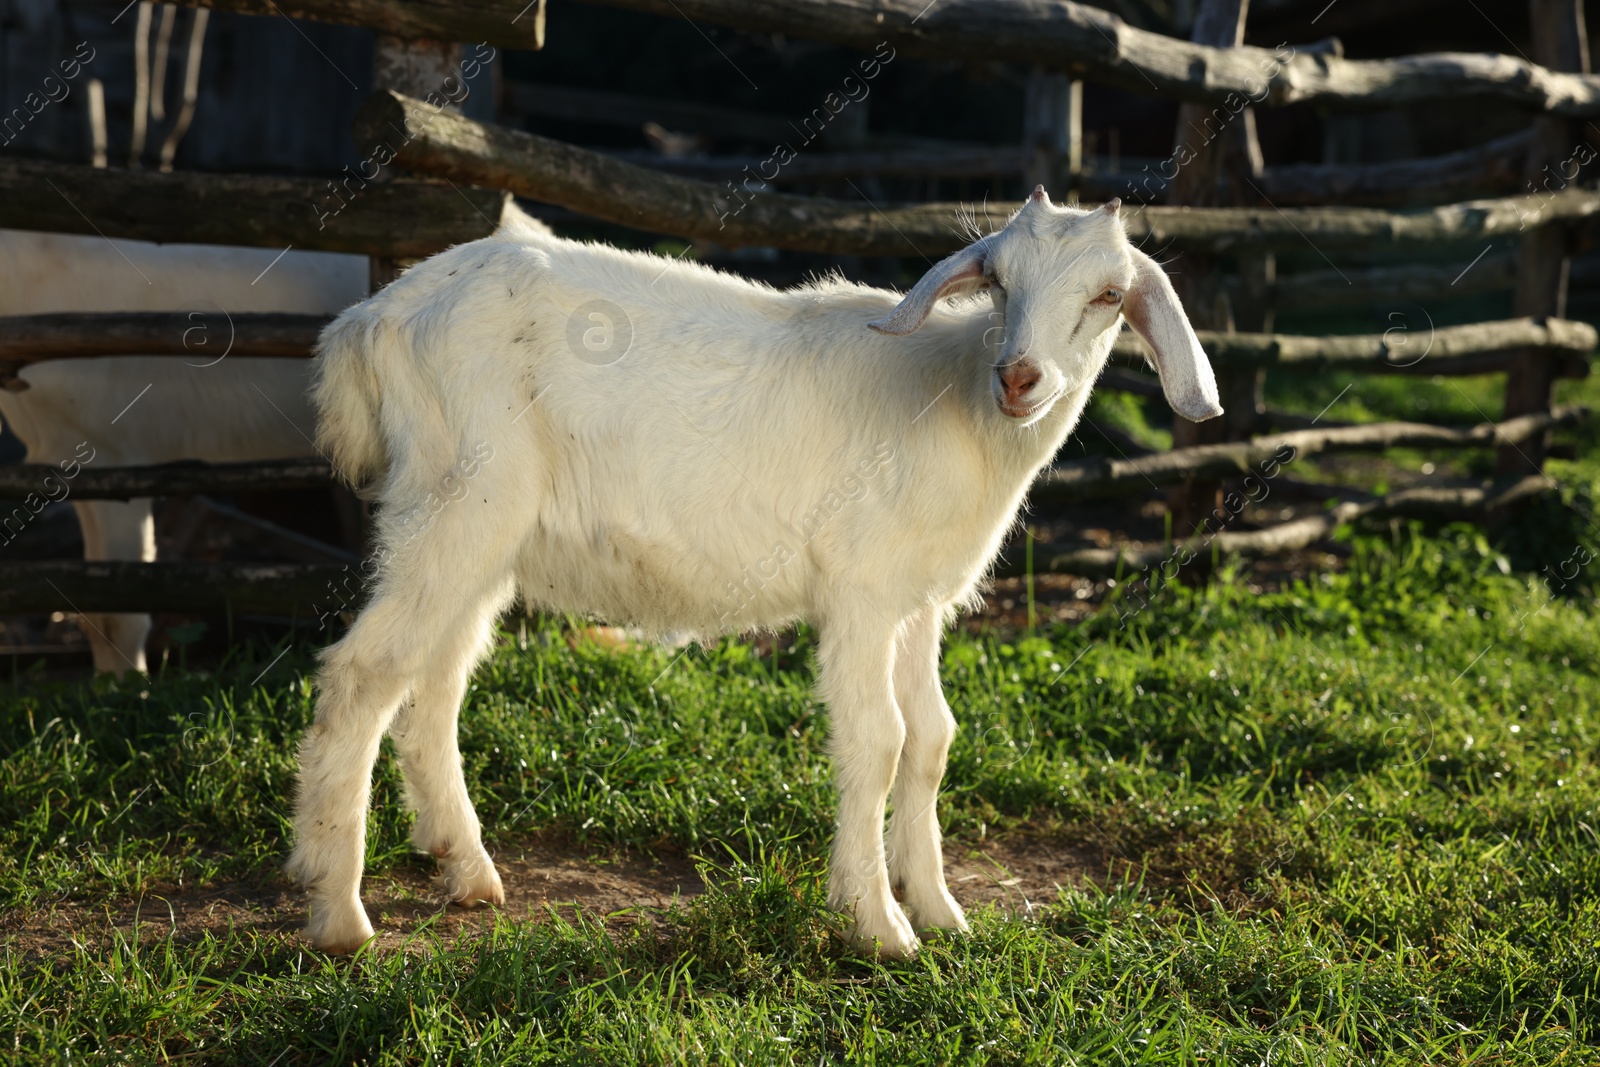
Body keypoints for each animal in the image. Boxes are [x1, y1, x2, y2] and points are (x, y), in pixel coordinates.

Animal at [294, 189, 1216, 959]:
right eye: (998, 282)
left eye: (1107, 295)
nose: (1019, 376)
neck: (949, 398)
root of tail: (370, 319)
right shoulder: (860, 591)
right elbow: (880, 740)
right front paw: (878, 923)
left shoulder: (918, 601)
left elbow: (932, 739)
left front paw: (941, 909)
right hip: (453, 504)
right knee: (363, 675)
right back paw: (339, 911)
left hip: (483, 534)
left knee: (434, 686)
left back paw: (467, 870)